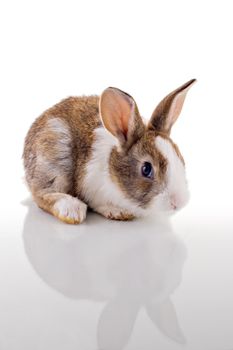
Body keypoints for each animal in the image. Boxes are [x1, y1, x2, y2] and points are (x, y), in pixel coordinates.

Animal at [22, 79, 196, 224]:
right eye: (146, 169)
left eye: (181, 159)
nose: (178, 202)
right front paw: (118, 212)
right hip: (55, 158)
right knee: (41, 195)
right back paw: (72, 209)